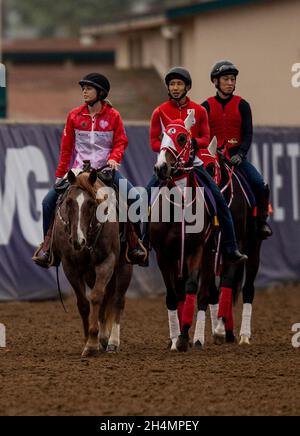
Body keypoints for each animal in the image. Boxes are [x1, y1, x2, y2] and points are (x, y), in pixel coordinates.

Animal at [51, 169, 132, 356]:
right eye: (69, 202)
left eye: (90, 203)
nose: (77, 241)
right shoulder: (70, 267)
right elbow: (83, 304)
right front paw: (88, 339)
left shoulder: (106, 262)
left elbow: (95, 297)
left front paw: (92, 343)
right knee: (105, 300)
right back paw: (104, 337)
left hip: (125, 266)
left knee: (118, 300)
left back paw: (112, 342)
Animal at [150, 112, 211, 350]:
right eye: (161, 136)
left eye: (182, 138)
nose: (161, 168)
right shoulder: (163, 254)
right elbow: (172, 295)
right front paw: (175, 338)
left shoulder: (196, 249)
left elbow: (192, 288)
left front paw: (184, 337)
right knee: (179, 290)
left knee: (202, 295)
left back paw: (198, 339)